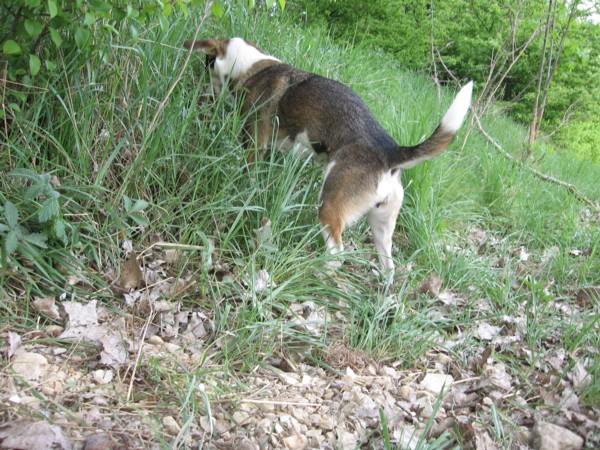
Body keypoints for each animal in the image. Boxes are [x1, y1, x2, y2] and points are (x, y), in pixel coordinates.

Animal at [184, 37, 473, 272]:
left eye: (207, 64)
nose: (205, 97)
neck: (254, 66)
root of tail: (388, 152)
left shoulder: (255, 145)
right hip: (381, 226)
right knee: (389, 268)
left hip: (329, 207)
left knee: (337, 255)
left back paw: (316, 273)